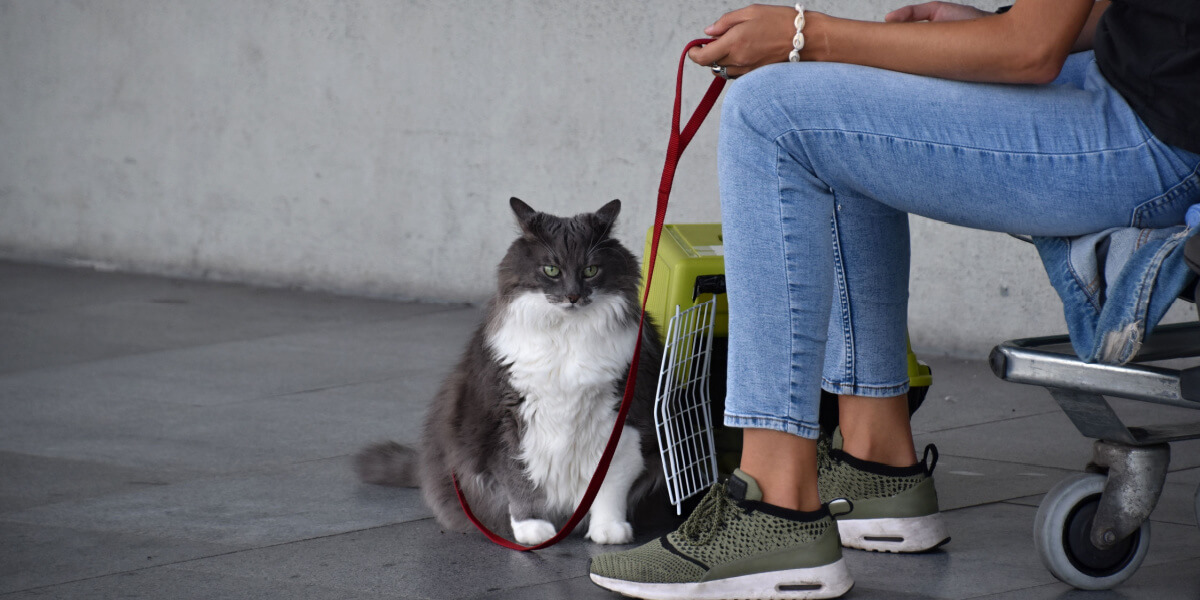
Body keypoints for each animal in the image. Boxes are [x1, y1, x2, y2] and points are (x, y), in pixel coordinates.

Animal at [355, 199, 667, 547]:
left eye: (590, 270)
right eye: (551, 270)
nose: (573, 296)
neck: (568, 334)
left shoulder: (626, 418)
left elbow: (610, 482)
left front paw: (609, 530)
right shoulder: (504, 421)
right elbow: (519, 479)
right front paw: (532, 528)